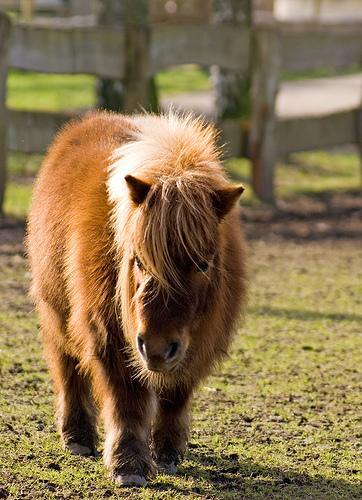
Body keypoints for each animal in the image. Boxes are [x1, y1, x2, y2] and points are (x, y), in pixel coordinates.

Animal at [25, 109, 246, 484]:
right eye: (139, 260)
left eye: (203, 264)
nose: (156, 347)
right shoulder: (109, 333)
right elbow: (126, 397)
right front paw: (128, 464)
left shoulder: (200, 340)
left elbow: (176, 395)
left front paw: (168, 453)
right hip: (56, 309)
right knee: (67, 367)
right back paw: (77, 436)